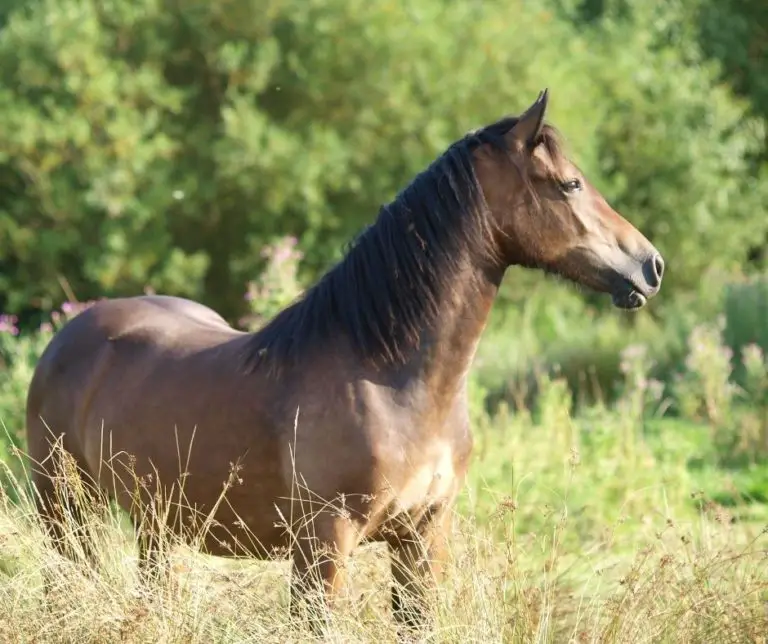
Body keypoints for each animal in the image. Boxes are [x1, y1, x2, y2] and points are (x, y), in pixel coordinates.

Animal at [24, 89, 660, 632]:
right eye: (571, 184)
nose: (650, 265)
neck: (390, 381)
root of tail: (70, 333)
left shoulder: (424, 538)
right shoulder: (324, 546)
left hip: (157, 527)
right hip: (66, 513)